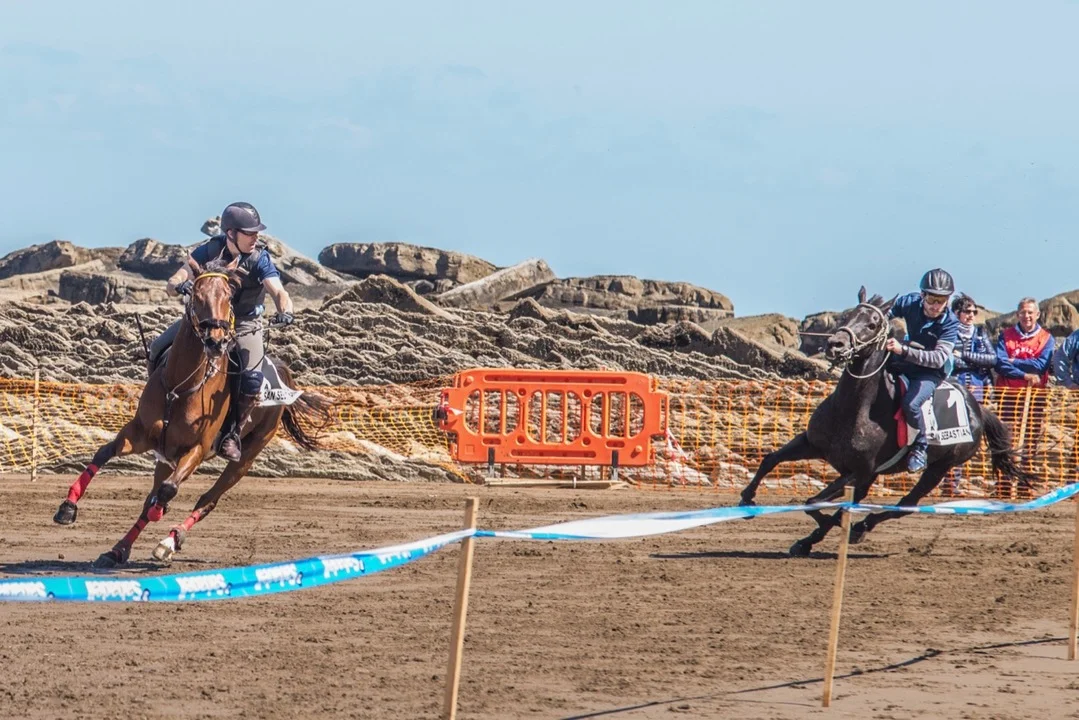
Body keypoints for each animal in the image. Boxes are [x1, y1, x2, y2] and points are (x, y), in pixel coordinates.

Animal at [52, 258, 334, 568]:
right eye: (196, 296)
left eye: (229, 296)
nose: (216, 340)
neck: (180, 386)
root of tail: (282, 375)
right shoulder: (142, 434)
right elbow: (103, 453)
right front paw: (67, 507)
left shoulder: (196, 450)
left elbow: (168, 491)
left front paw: (162, 520)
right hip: (165, 457)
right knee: (153, 494)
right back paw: (119, 549)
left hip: (245, 458)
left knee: (206, 500)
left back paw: (169, 541)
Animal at [738, 287, 1035, 556]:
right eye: (847, 315)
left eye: (873, 324)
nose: (836, 344)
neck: (854, 410)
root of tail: (978, 409)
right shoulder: (812, 443)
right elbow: (771, 461)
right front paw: (746, 501)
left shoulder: (862, 472)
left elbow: (817, 502)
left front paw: (822, 532)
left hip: (940, 467)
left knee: (906, 504)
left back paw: (860, 528)